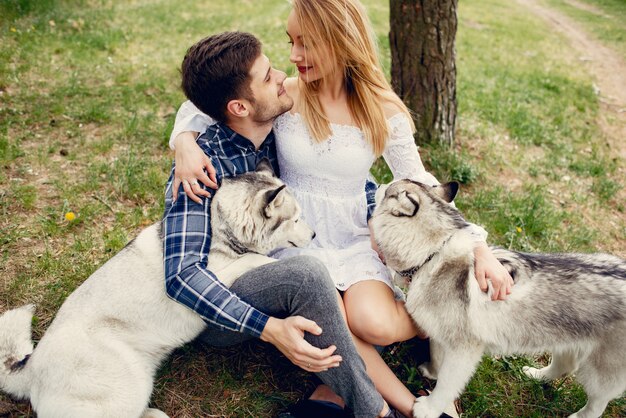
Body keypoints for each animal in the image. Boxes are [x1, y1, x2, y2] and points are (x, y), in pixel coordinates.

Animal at [0, 160, 312, 418]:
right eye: (296, 219)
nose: (314, 234)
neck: (222, 230)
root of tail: (32, 366)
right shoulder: (212, 276)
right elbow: (254, 258)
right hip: (126, 386)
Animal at [370, 179, 624, 418]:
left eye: (388, 188)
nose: (377, 183)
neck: (433, 254)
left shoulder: (464, 351)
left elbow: (446, 385)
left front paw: (429, 408)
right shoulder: (440, 335)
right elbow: (437, 357)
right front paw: (432, 371)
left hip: (599, 375)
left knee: (597, 404)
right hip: (565, 340)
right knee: (565, 366)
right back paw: (536, 375)